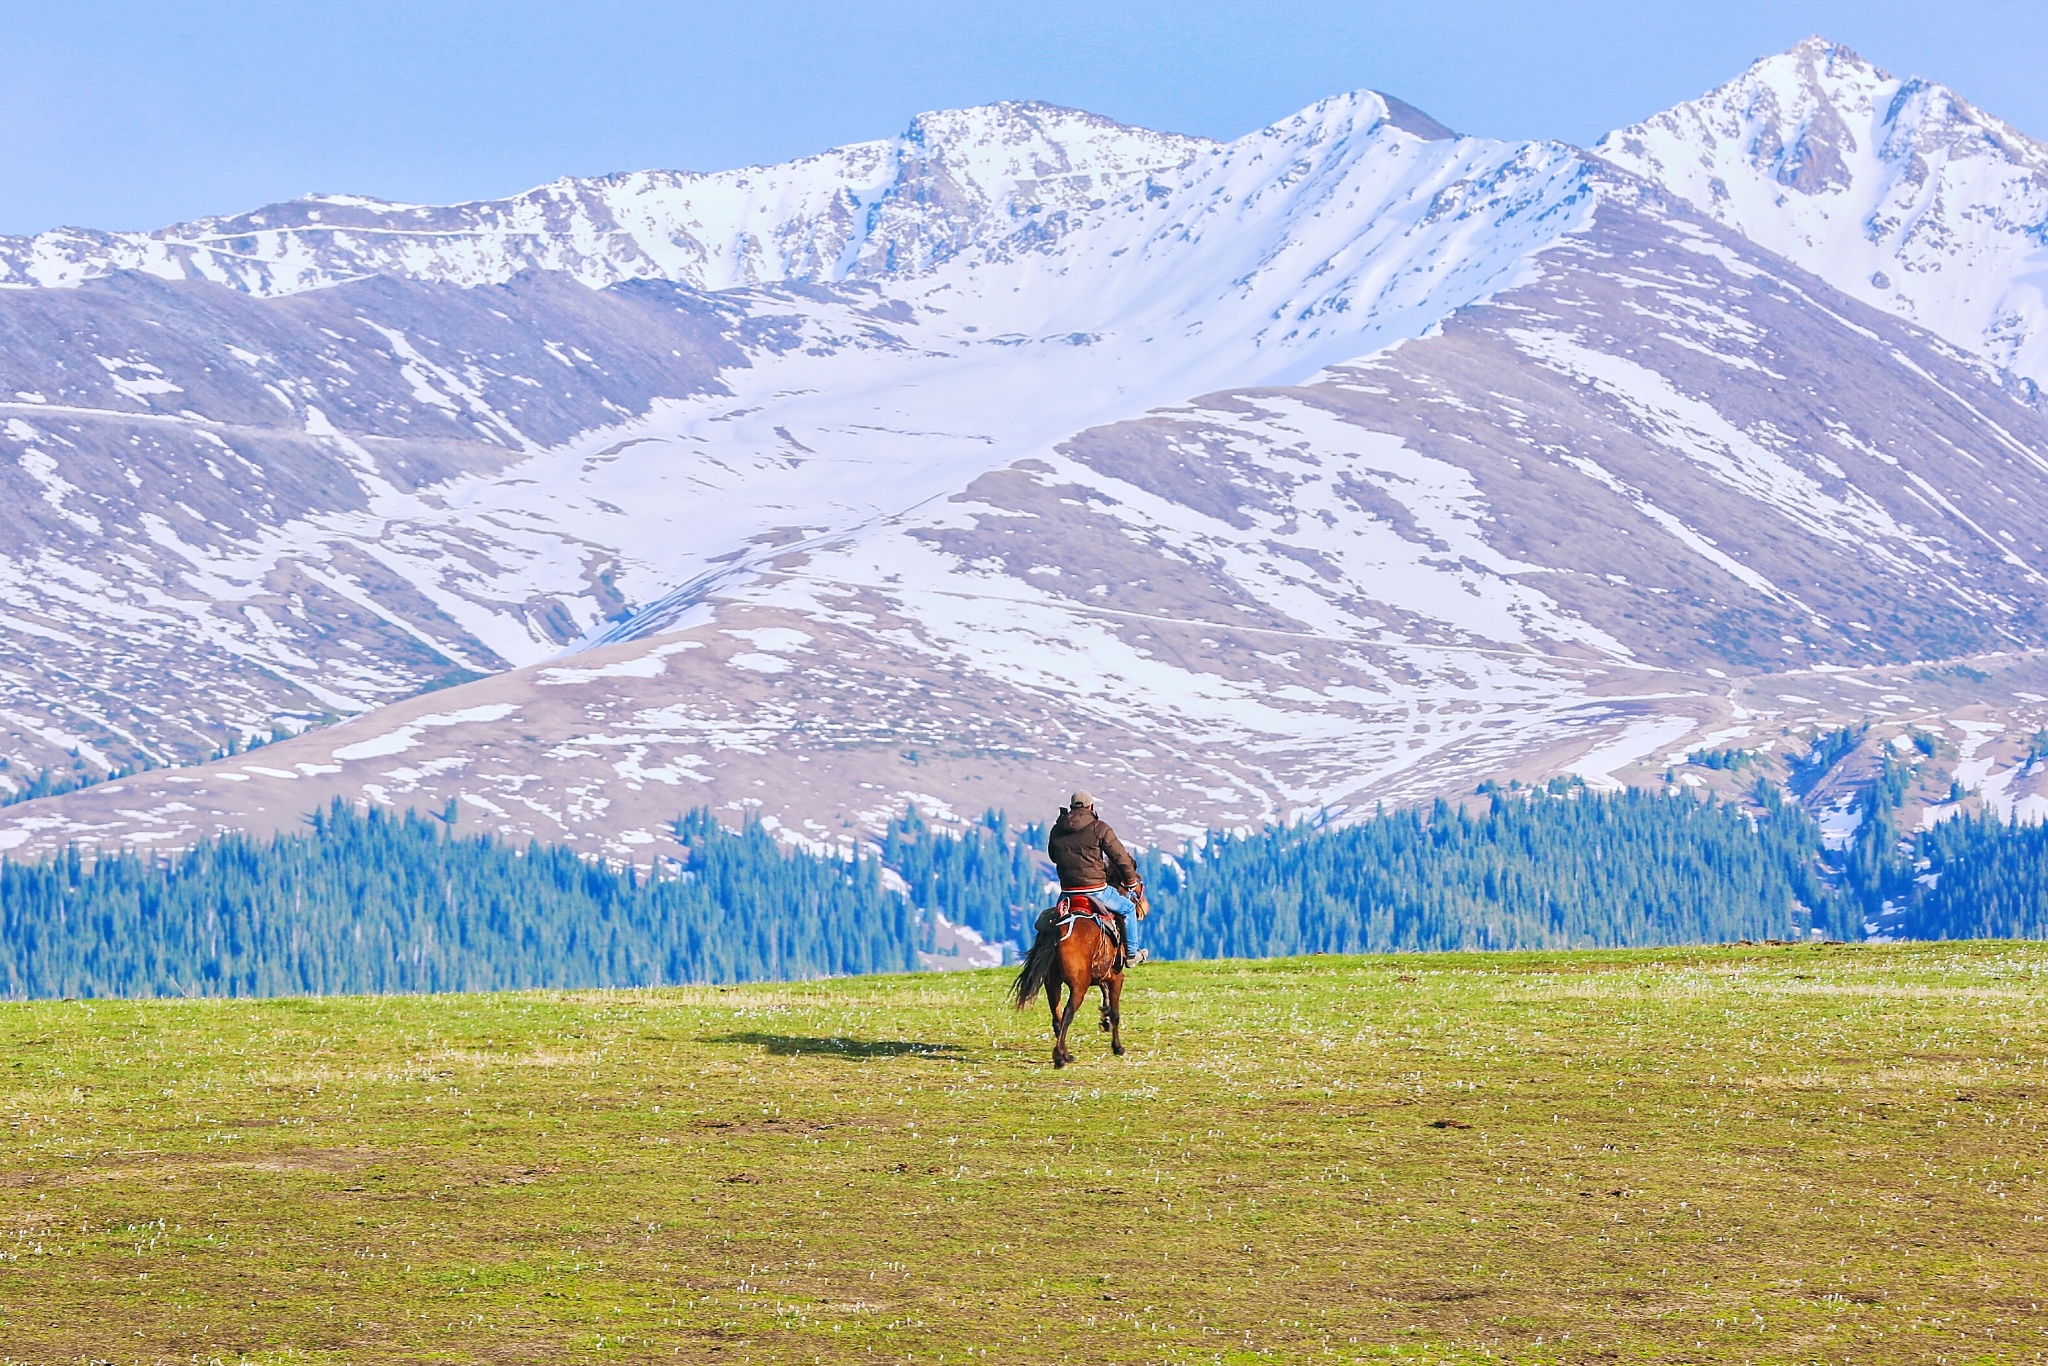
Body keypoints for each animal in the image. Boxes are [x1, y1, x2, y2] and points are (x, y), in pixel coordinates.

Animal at [1015, 892, 1146, 1073]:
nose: (1144, 908)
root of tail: (1057, 929)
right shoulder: (1116, 978)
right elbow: (1115, 1013)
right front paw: (1118, 1047)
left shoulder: (1100, 974)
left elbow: (1105, 996)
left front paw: (1104, 1019)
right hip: (1079, 987)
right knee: (1068, 1014)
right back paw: (1059, 1058)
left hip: (1052, 984)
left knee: (1057, 1018)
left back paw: (1065, 1055)